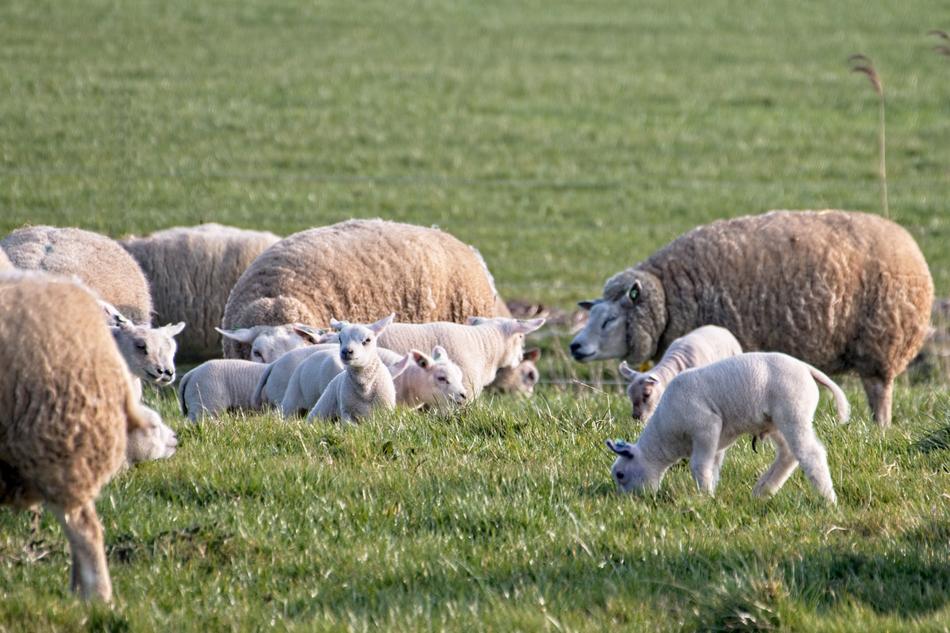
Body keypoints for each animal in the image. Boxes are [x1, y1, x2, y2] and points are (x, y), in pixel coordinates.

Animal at [571, 210, 933, 427]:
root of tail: (909, 244)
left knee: (880, 392)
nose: (575, 346)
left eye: (609, 320)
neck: (669, 295)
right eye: (593, 313)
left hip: (881, 343)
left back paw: (880, 427)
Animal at [607, 352, 850, 504]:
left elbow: (699, 466)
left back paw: (828, 499)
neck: (666, 434)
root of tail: (806, 368)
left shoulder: (705, 426)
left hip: (793, 413)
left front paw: (704, 497)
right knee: (788, 455)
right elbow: (713, 467)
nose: (627, 502)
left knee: (810, 454)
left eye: (620, 475)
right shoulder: (718, 440)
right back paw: (763, 491)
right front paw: (711, 493)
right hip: (776, 423)